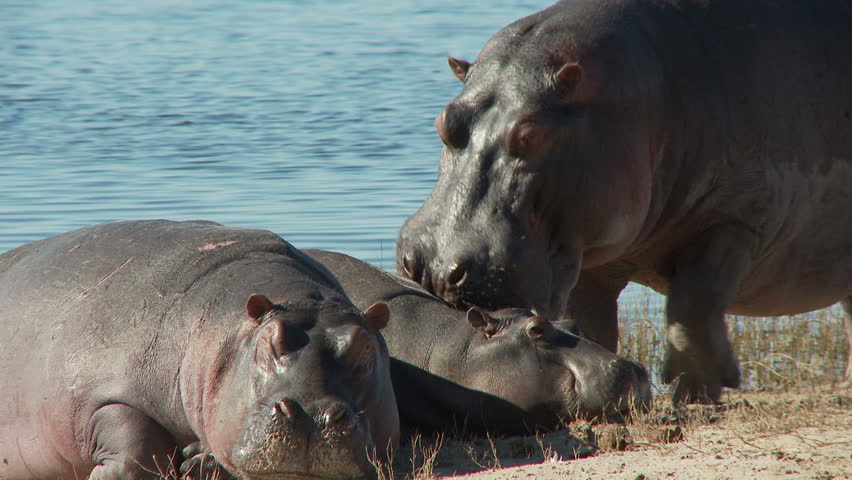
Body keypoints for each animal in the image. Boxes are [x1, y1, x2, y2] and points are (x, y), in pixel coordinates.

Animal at [0, 220, 399, 480]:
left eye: (364, 347)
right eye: (269, 341)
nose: (313, 417)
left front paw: (196, 461)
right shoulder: (102, 395)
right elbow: (135, 454)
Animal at [396, 0, 852, 403]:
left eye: (530, 134)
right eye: (443, 121)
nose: (436, 269)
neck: (651, 91)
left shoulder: (736, 220)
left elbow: (692, 309)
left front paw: (694, 393)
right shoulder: (587, 256)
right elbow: (593, 322)